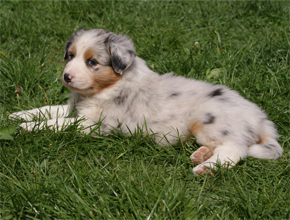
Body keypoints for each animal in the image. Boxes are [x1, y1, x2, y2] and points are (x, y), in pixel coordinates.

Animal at [9, 27, 284, 175]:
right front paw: (18, 115)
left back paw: (205, 168)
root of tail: (261, 118)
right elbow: (47, 109)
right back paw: (201, 155)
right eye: (70, 56)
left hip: (212, 122)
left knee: (236, 150)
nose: (66, 76)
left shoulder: (93, 125)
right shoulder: (73, 107)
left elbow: (58, 124)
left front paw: (27, 127)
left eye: (91, 62)